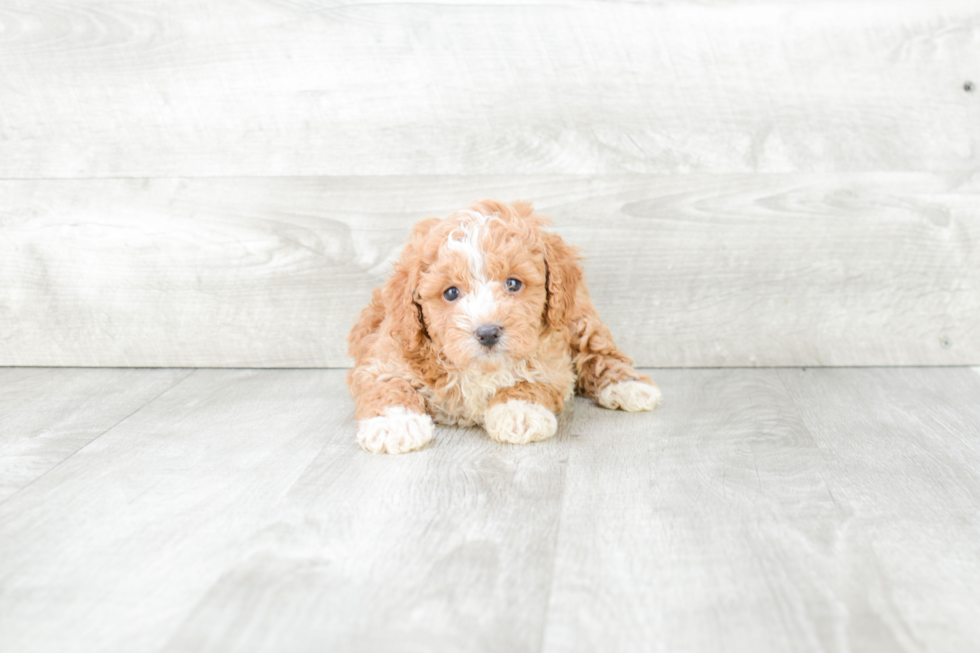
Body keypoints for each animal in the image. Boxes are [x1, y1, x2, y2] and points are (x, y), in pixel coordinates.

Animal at [348, 199, 664, 454]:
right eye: (450, 293)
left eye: (513, 283)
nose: (488, 333)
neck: (481, 369)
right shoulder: (385, 357)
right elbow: (389, 386)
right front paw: (394, 424)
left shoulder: (552, 363)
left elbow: (529, 383)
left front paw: (518, 412)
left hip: (578, 318)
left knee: (600, 353)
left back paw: (628, 386)